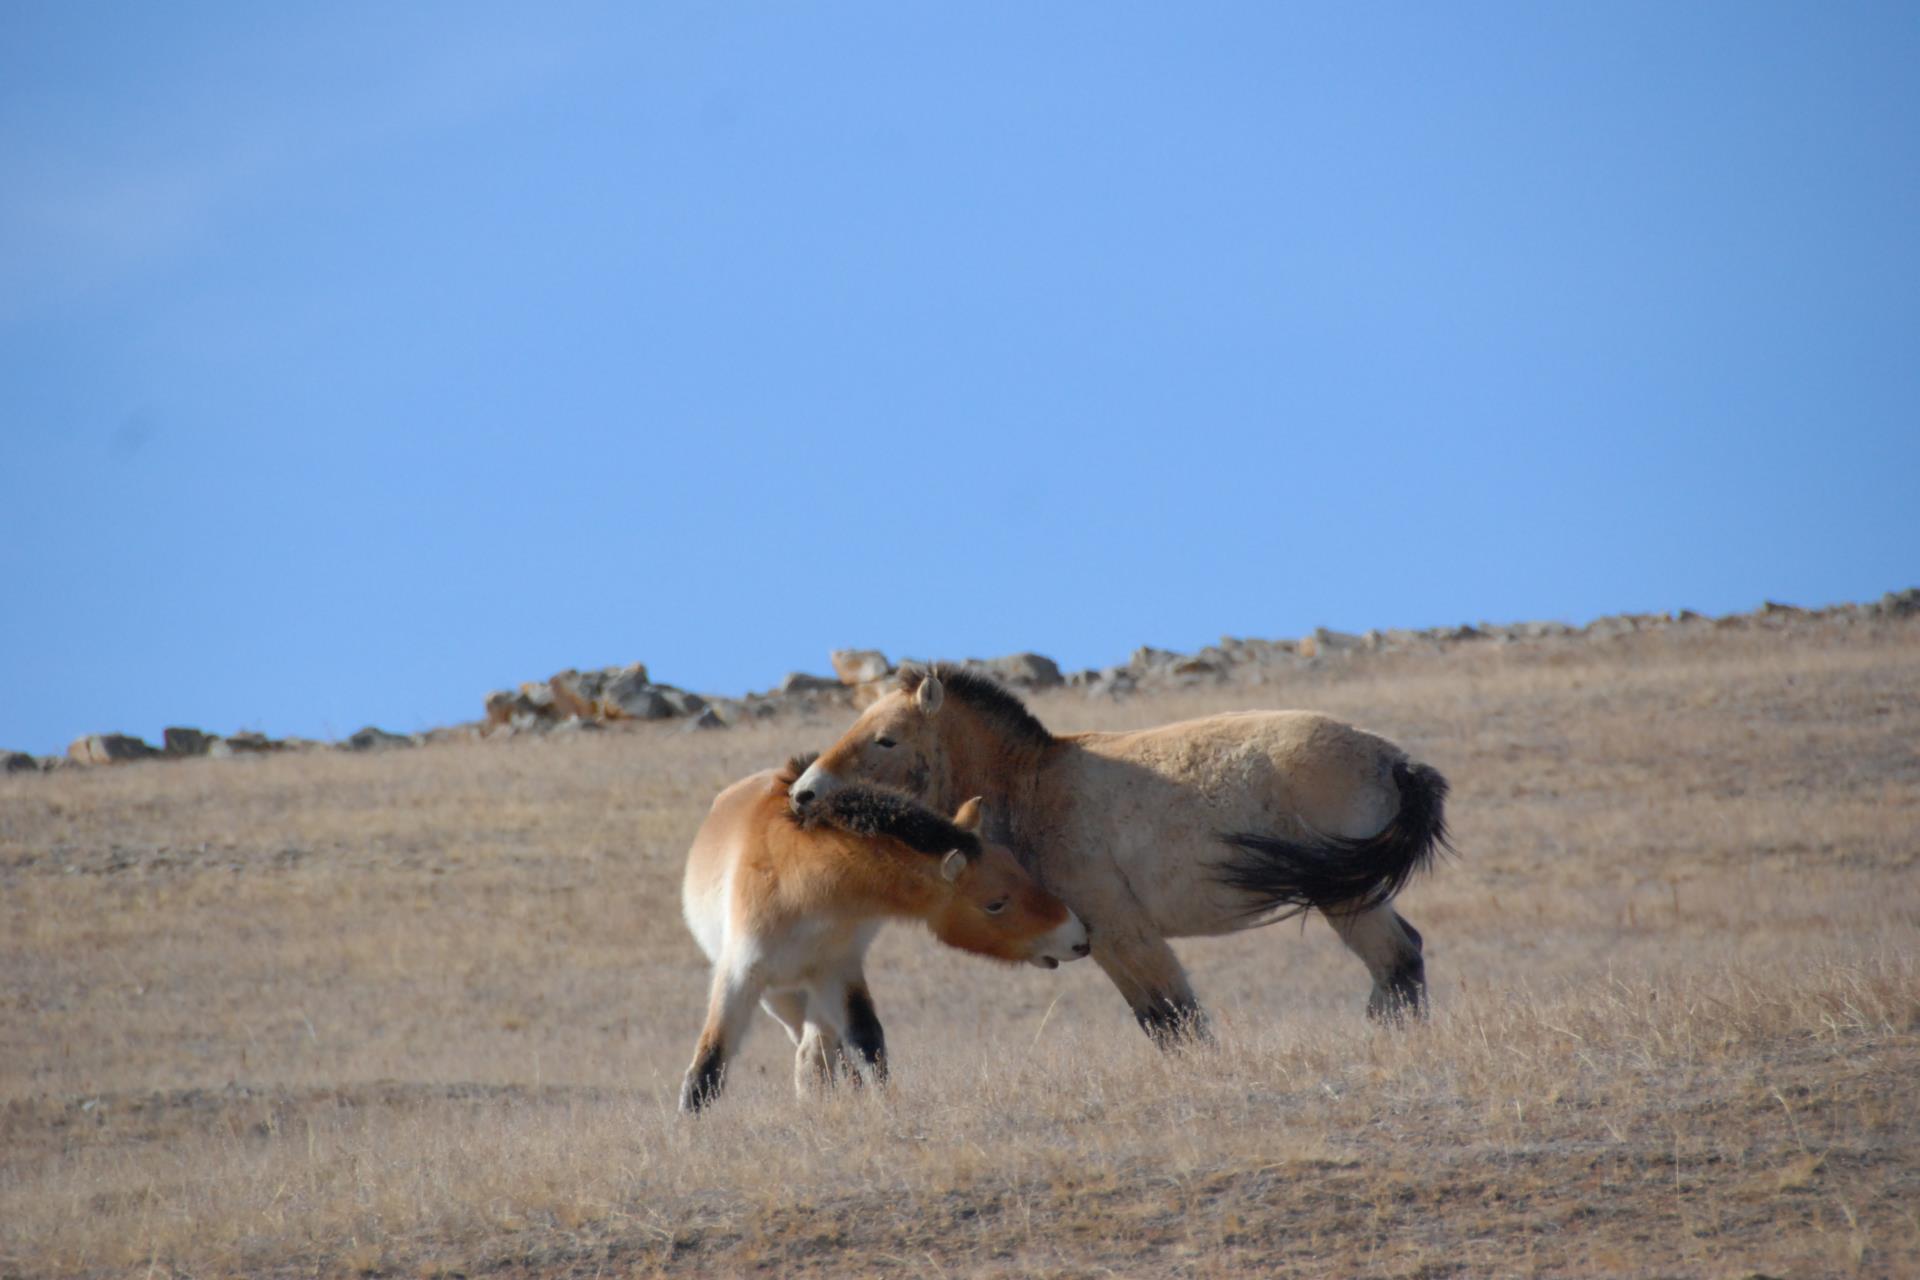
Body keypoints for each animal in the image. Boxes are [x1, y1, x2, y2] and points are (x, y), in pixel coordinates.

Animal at [679, 753, 1090, 1111]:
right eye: (995, 903)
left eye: (1020, 869)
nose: (1079, 938)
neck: (801, 885)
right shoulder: (740, 975)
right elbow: (708, 1065)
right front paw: (689, 1127)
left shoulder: (838, 970)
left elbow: (867, 1044)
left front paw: (881, 1104)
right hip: (780, 996)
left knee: (821, 1051)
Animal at [789, 666, 1451, 1043]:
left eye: (885, 739)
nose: (803, 795)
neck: (1036, 788)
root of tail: (1393, 759)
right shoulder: (1101, 943)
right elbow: (1158, 1023)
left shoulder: (1125, 934)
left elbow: (1179, 1019)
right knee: (1404, 958)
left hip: (1348, 898)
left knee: (1395, 962)